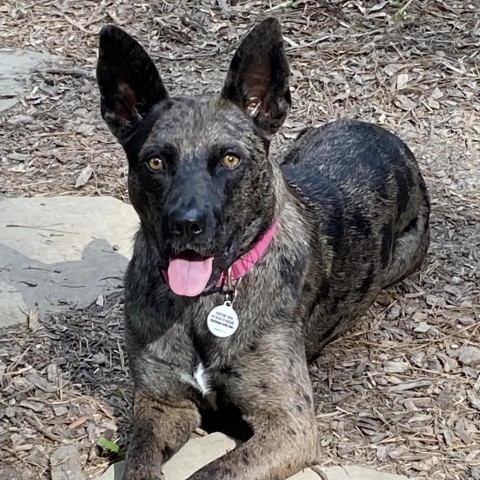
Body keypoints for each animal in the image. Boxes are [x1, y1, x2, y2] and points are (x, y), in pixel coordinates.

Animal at [95, 15, 430, 480]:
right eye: (156, 161)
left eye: (230, 159)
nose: (186, 225)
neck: (202, 303)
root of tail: (378, 130)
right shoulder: (161, 402)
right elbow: (140, 460)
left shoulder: (289, 426)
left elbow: (212, 472)